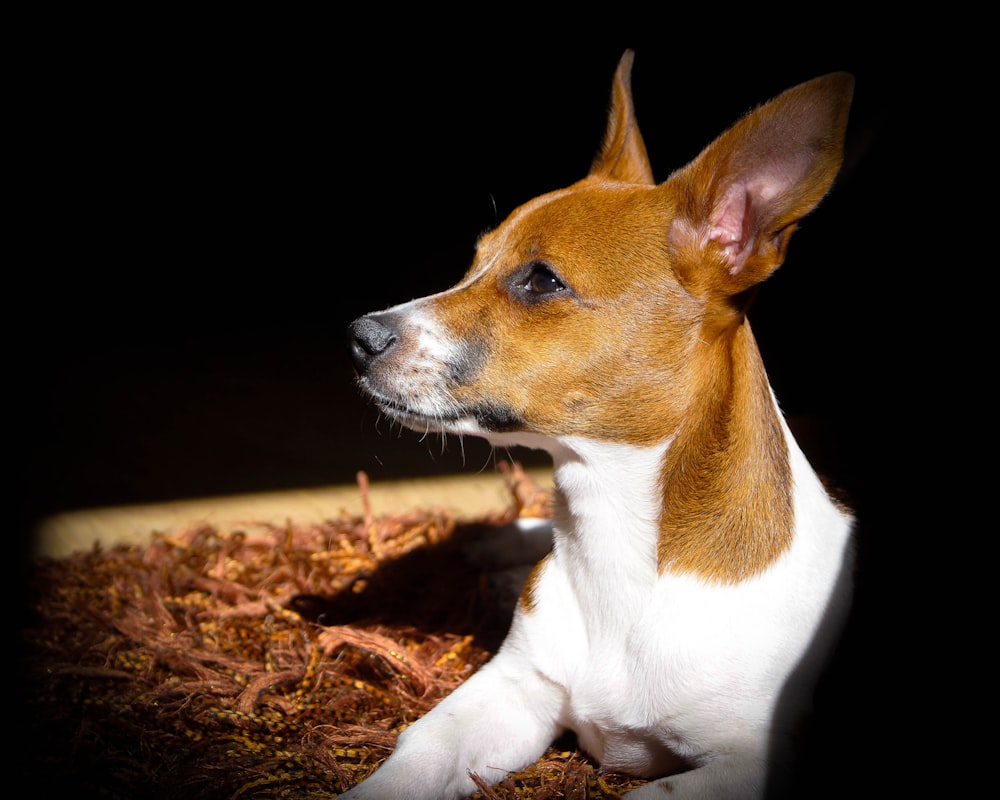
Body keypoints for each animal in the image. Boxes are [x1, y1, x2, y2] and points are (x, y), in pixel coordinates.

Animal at [344, 51, 852, 800]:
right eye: (474, 263)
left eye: (541, 281)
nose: (358, 337)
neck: (613, 542)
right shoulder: (509, 694)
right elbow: (413, 759)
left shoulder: (751, 762)